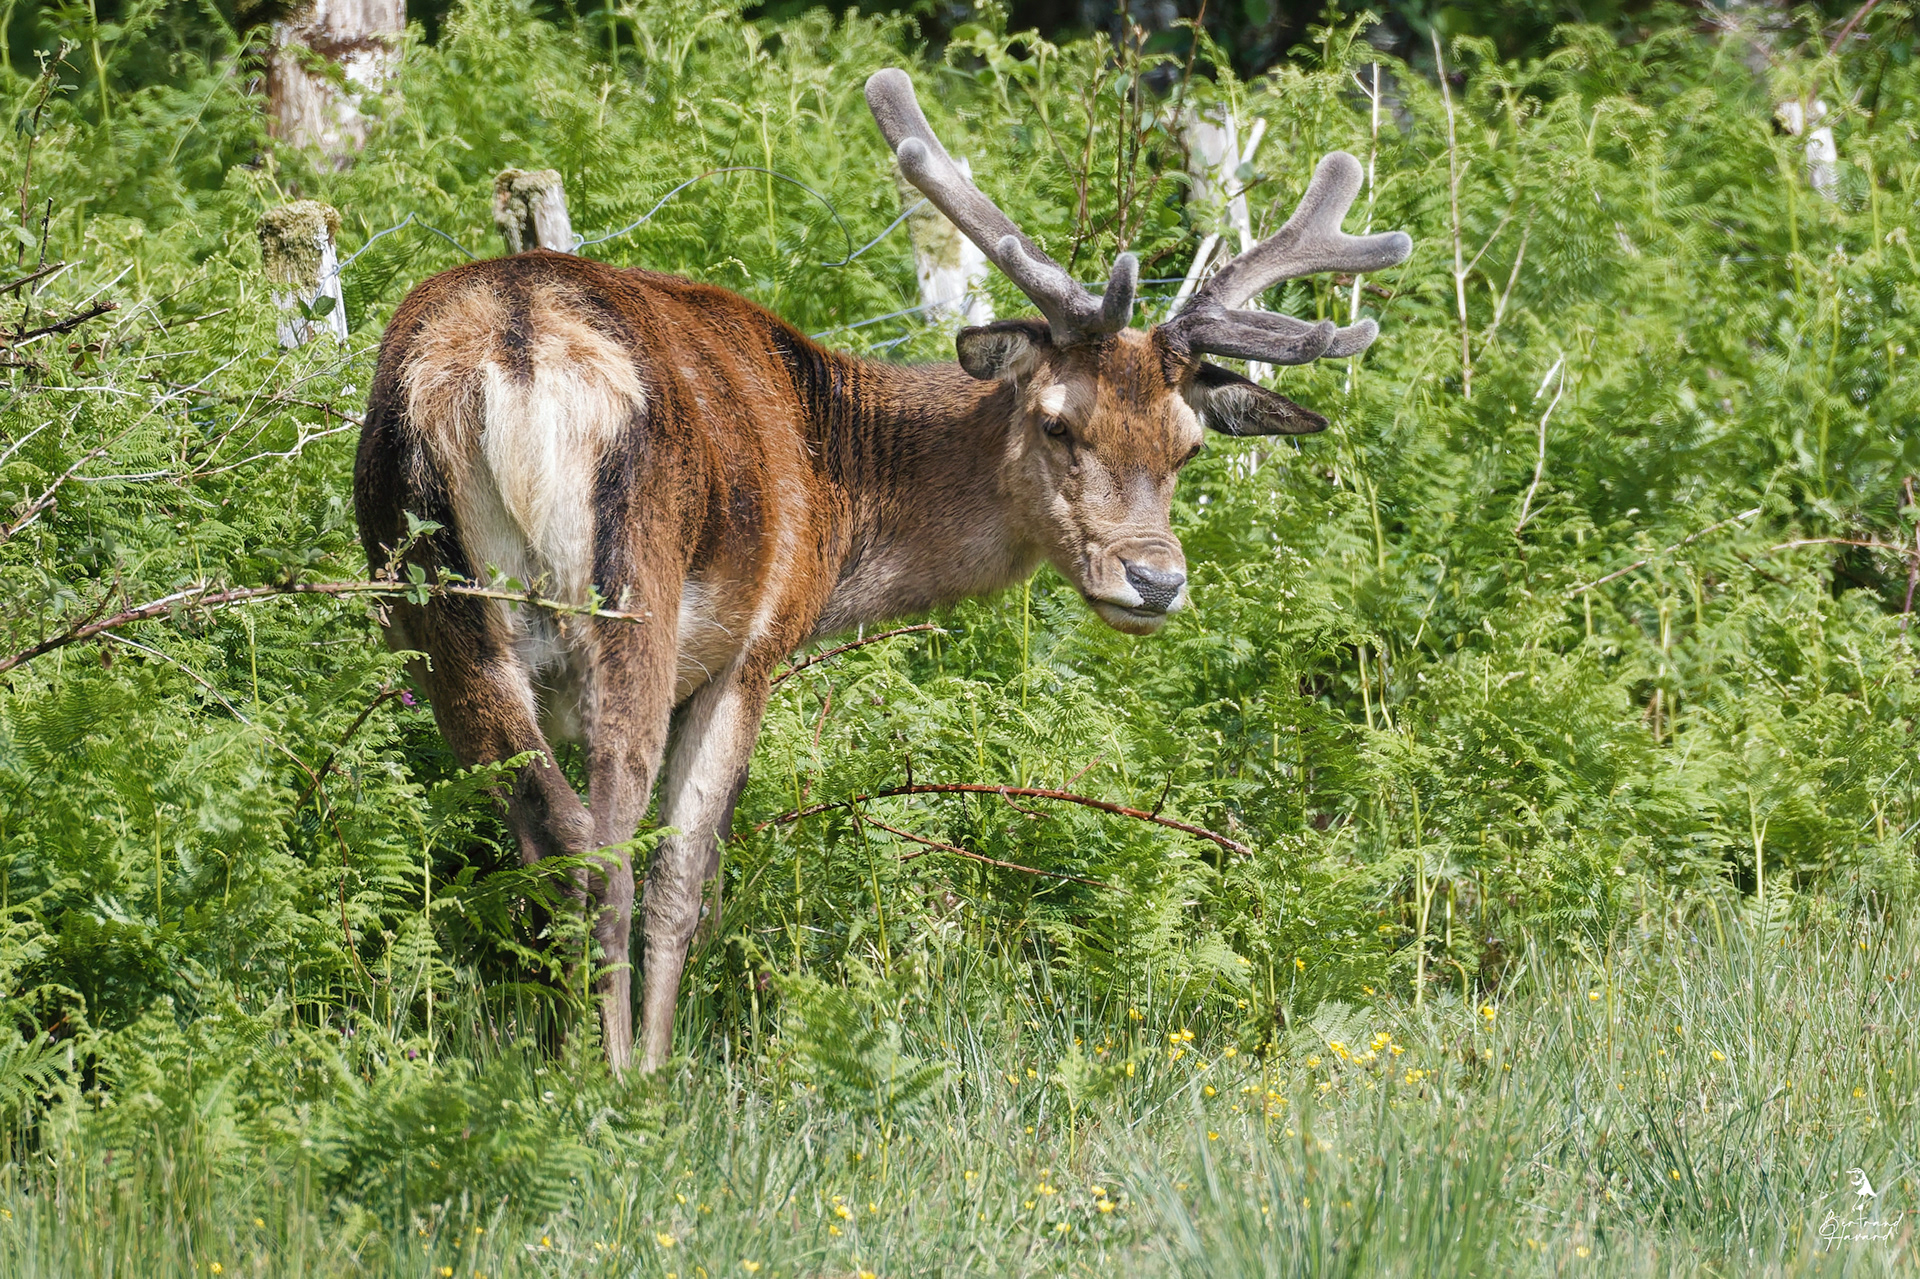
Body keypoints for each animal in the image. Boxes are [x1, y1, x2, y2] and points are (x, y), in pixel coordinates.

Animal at [352, 69, 1411, 1073]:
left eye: (1188, 446)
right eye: (1057, 423)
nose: (1154, 581)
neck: (835, 494)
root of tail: (510, 348)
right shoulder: (754, 646)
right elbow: (684, 883)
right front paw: (654, 1070)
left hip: (436, 611)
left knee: (547, 839)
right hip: (632, 597)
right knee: (604, 853)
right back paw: (611, 1083)